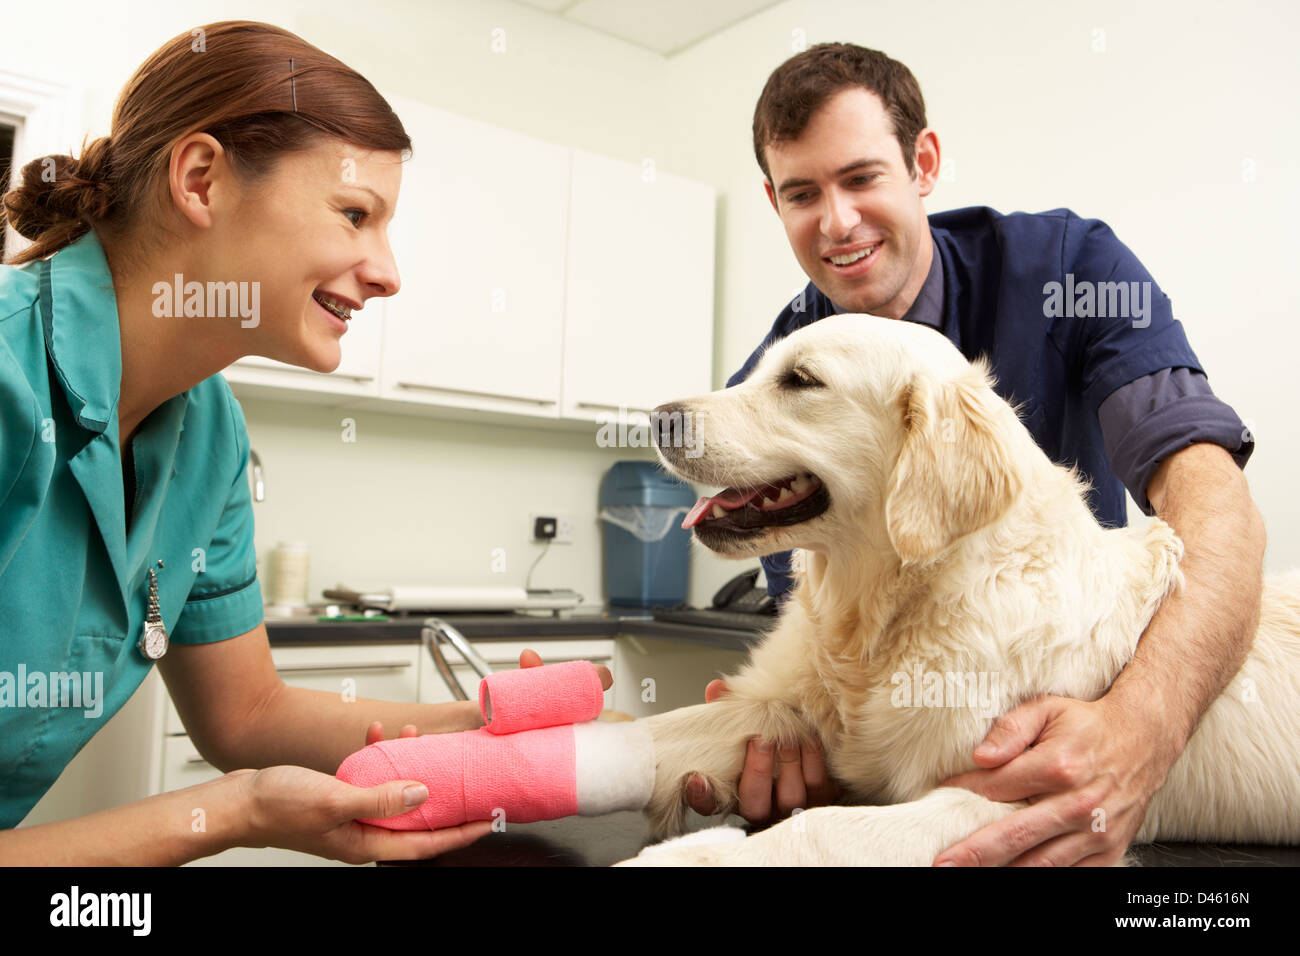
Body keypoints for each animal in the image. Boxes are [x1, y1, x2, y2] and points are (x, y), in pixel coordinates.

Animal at [618, 316, 1300, 868]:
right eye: (760, 371)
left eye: (803, 380)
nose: (657, 419)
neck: (889, 615)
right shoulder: (783, 710)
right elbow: (655, 735)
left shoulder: (1024, 802)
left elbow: (816, 830)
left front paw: (681, 857)